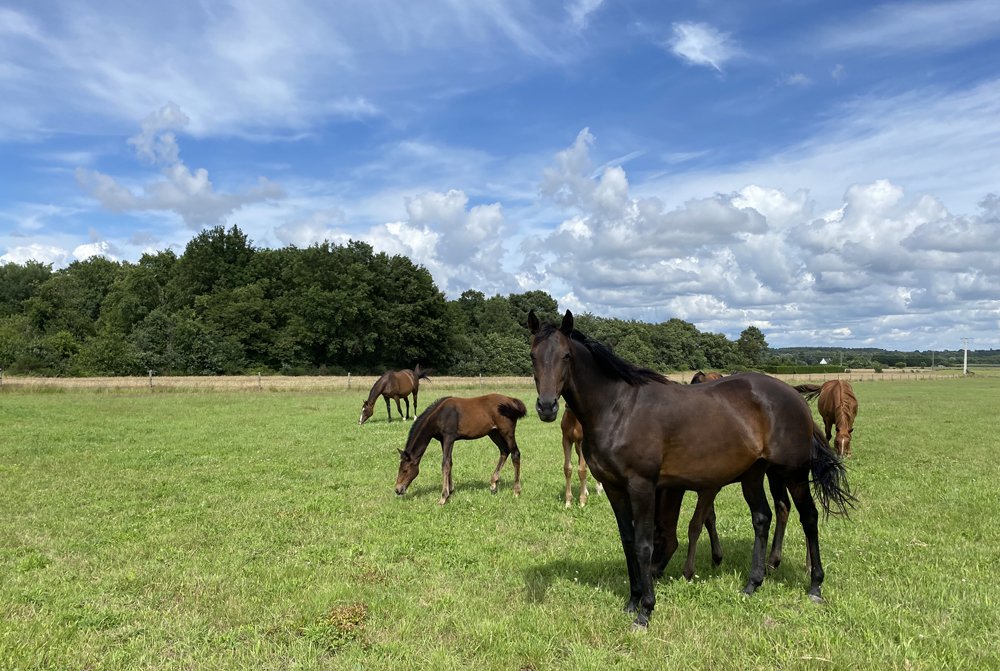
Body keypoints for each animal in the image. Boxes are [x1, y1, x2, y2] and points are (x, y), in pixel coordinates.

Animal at [394, 394, 527, 505]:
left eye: (405, 470)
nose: (397, 489)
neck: (439, 415)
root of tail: (512, 400)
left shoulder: (449, 438)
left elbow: (445, 464)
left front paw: (443, 497)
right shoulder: (443, 440)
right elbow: (450, 462)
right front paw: (451, 491)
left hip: (507, 432)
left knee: (515, 454)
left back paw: (516, 491)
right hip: (494, 433)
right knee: (504, 451)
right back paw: (493, 484)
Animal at [528, 310, 854, 629]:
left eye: (566, 355)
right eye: (533, 355)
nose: (546, 407)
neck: (618, 409)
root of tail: (795, 397)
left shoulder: (643, 486)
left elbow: (644, 544)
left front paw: (645, 611)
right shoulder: (613, 487)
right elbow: (628, 540)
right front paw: (632, 601)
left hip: (793, 473)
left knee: (808, 518)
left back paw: (815, 586)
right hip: (753, 473)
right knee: (763, 518)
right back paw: (752, 583)